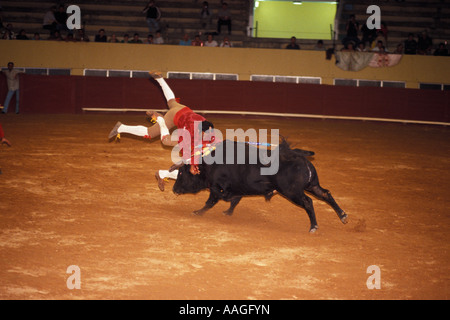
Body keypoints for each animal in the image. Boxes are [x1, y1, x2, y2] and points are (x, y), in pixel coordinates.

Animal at [172, 140, 348, 232]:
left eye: (181, 173)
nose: (174, 189)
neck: (210, 164)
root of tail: (297, 155)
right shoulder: (237, 188)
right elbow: (234, 200)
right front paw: (228, 212)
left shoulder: (216, 187)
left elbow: (211, 201)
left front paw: (197, 212)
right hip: (312, 185)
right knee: (325, 194)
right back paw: (343, 216)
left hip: (292, 192)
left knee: (308, 202)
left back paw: (313, 226)